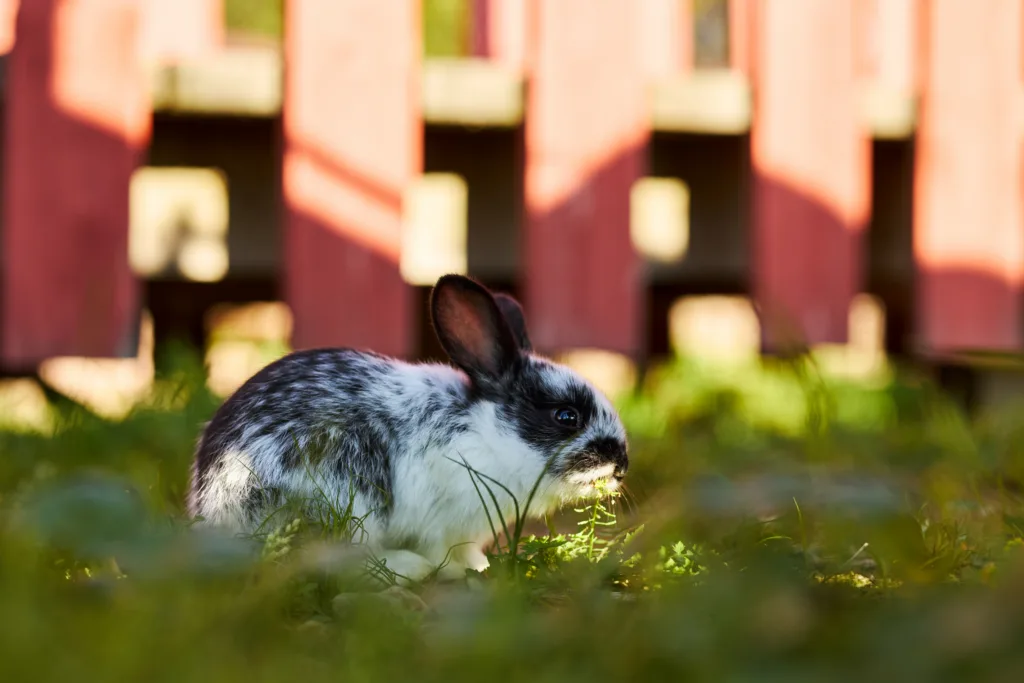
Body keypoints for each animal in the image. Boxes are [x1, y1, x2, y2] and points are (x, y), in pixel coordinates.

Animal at [186, 274, 629, 582]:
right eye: (566, 416)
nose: (621, 464)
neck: (484, 434)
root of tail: (217, 510)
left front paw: (481, 566)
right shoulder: (441, 523)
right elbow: (444, 552)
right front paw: (465, 571)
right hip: (343, 497)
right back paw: (408, 569)